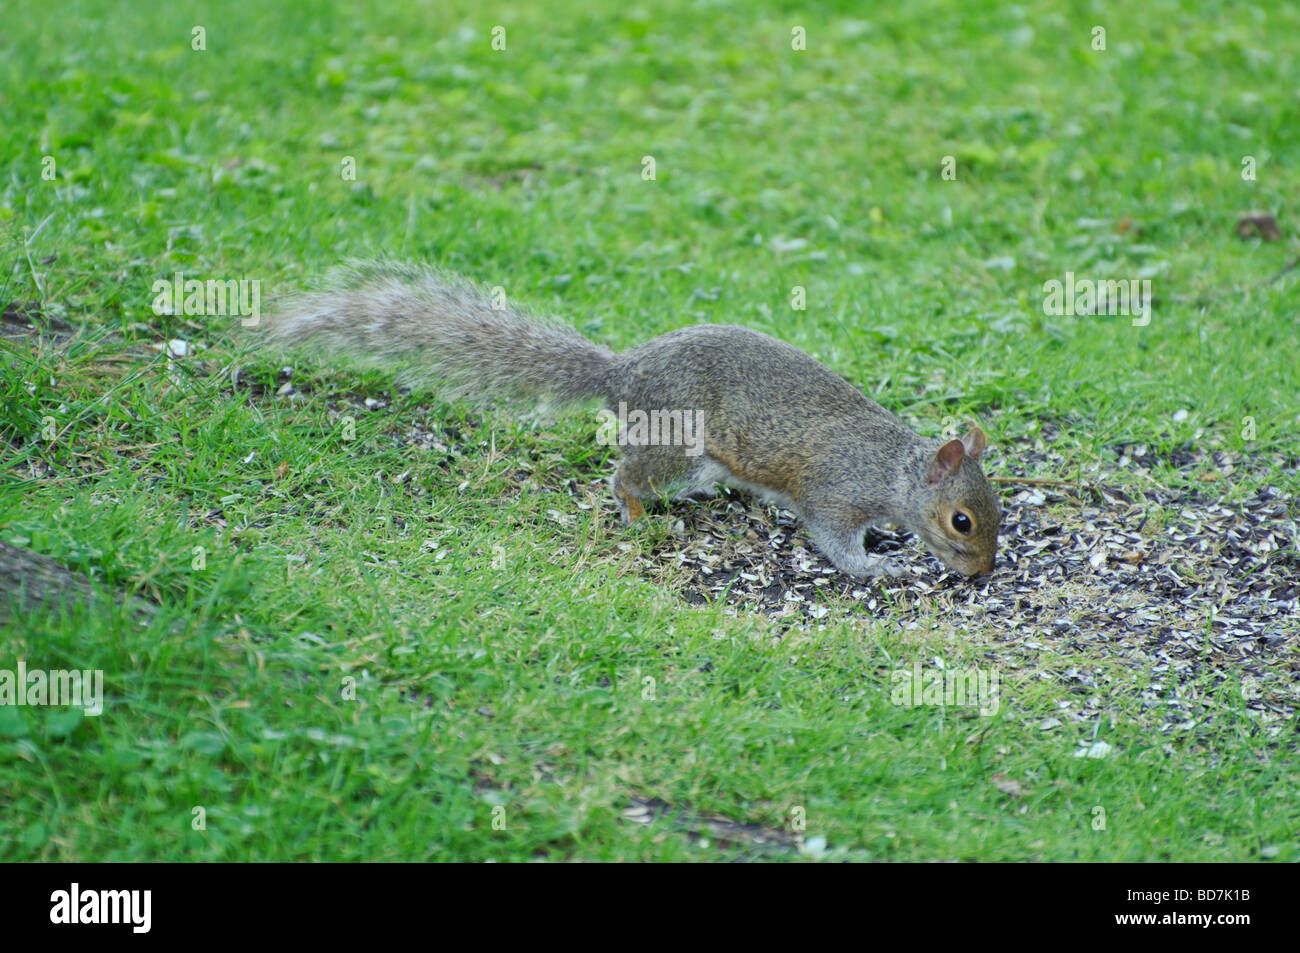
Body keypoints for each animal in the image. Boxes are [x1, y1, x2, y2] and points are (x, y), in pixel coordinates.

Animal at [258, 260, 998, 577]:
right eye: (961, 521)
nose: (981, 575)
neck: (892, 470)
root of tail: (623, 374)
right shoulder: (832, 493)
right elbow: (836, 543)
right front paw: (878, 567)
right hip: (676, 445)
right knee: (625, 477)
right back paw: (640, 515)